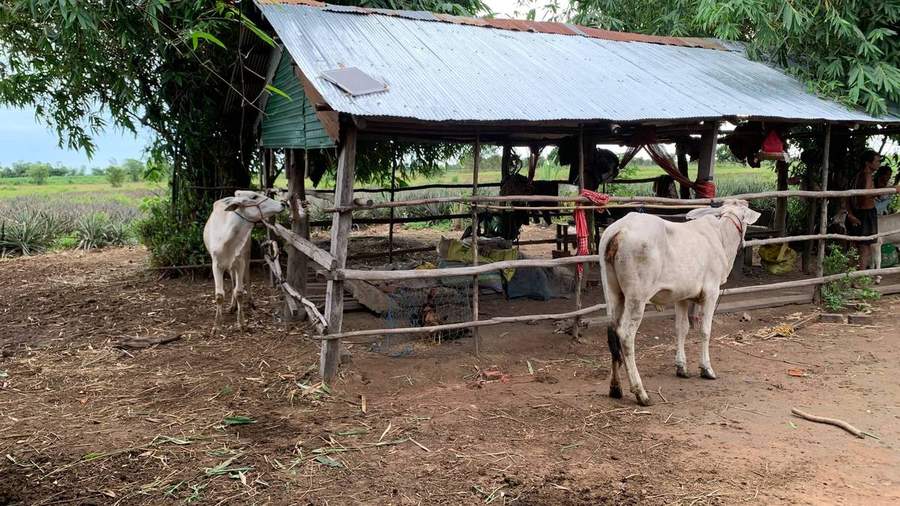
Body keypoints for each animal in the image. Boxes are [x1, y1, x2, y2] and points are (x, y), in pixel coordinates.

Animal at [203, 190, 284, 330]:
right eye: (254, 197)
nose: (282, 204)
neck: (227, 240)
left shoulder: (240, 262)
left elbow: (240, 292)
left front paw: (241, 323)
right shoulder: (216, 264)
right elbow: (219, 295)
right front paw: (217, 326)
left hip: (246, 255)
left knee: (247, 278)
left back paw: (250, 302)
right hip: (231, 266)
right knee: (233, 281)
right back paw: (232, 306)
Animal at [599, 200, 761, 406]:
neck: (721, 237)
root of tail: (620, 229)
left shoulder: (682, 296)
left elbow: (681, 329)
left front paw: (681, 367)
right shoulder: (711, 292)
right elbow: (705, 330)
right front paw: (706, 369)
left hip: (612, 292)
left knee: (611, 332)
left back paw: (615, 388)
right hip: (637, 296)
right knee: (625, 335)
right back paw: (640, 392)